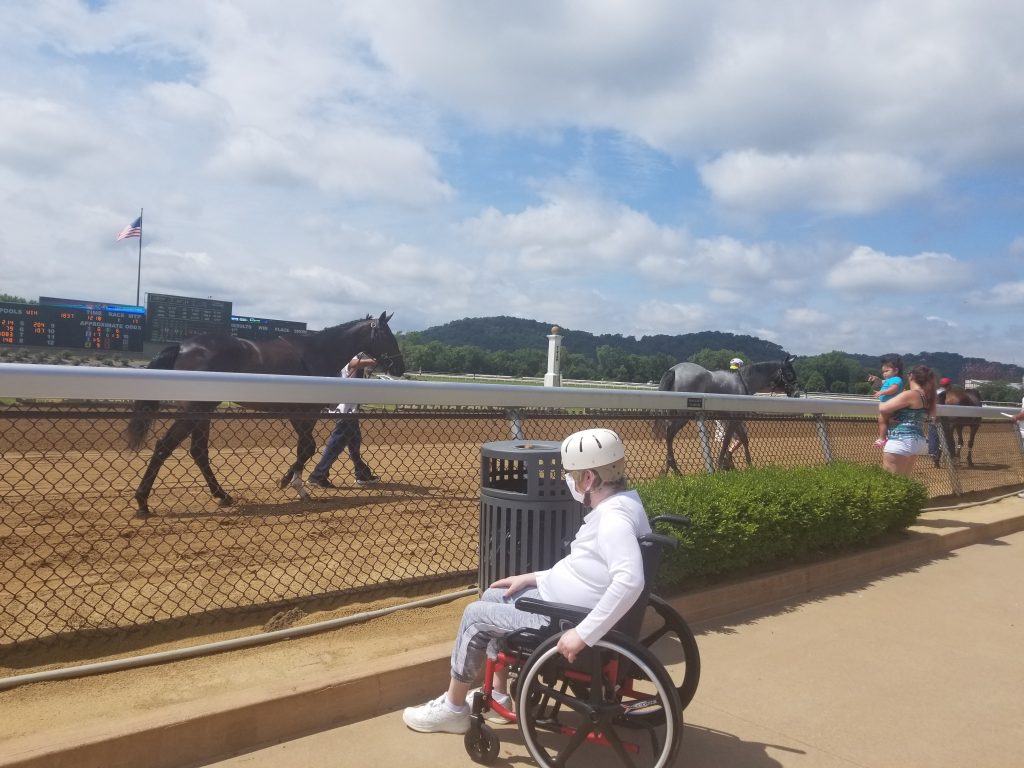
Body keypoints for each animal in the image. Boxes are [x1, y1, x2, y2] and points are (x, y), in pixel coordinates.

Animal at [124, 311, 403, 518]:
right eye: (388, 336)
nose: (400, 367)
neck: (316, 352)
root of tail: (182, 347)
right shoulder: (304, 411)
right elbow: (308, 447)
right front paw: (292, 484)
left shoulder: (298, 412)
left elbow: (306, 447)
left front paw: (294, 483)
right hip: (194, 410)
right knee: (164, 446)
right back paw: (142, 502)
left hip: (204, 411)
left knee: (199, 451)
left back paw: (222, 495)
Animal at [655, 360, 798, 475]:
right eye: (790, 374)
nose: (797, 394)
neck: (742, 382)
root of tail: (674, 370)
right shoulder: (734, 418)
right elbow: (727, 440)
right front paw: (720, 466)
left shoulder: (734, 419)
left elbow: (743, 439)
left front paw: (748, 465)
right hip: (682, 416)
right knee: (670, 435)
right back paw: (675, 470)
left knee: (668, 436)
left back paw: (667, 469)